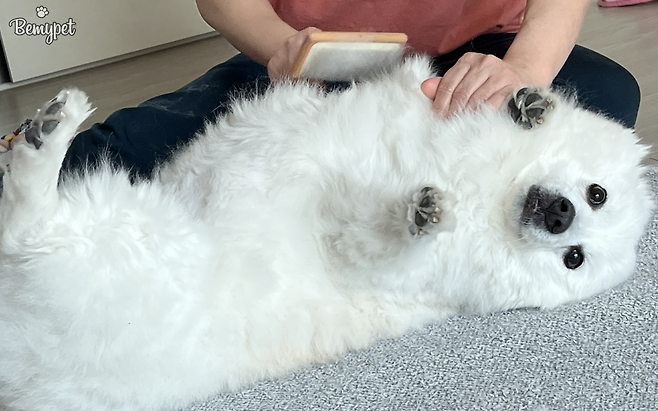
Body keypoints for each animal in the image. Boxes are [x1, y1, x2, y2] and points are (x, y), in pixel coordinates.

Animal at [0, 57, 653, 411]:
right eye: (597, 195)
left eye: (574, 260)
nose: (562, 216)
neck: (488, 193)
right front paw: (529, 105)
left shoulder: (363, 255)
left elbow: (378, 238)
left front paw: (424, 214)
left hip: (118, 237)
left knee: (25, 228)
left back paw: (48, 134)